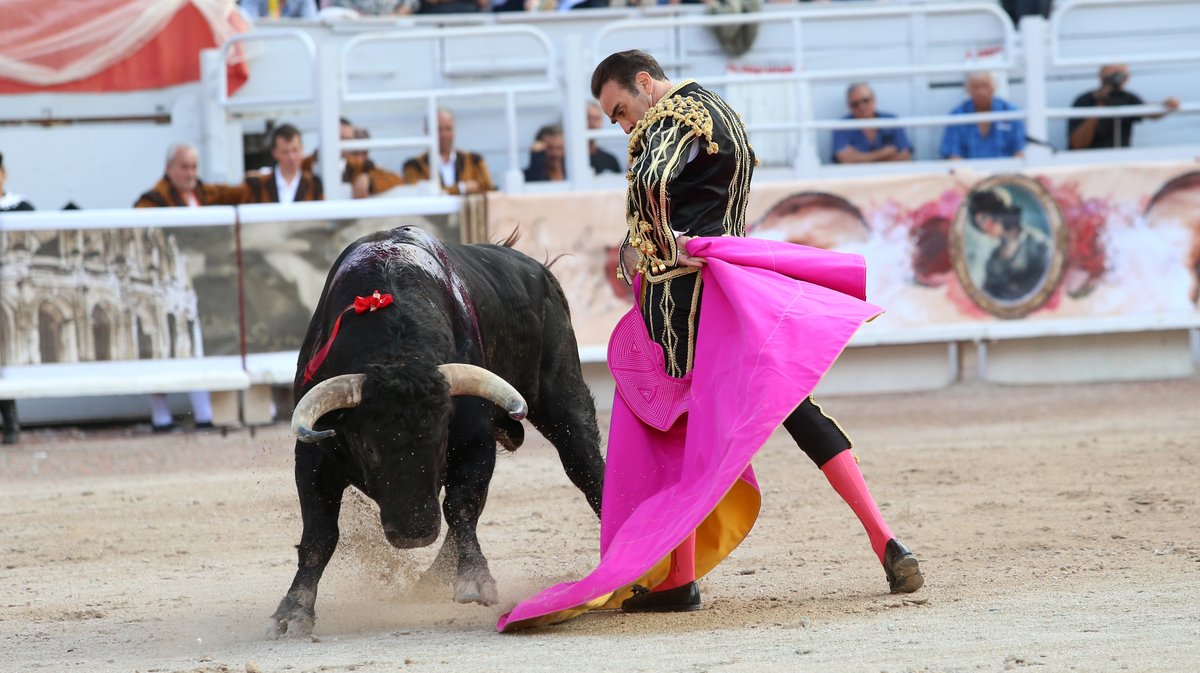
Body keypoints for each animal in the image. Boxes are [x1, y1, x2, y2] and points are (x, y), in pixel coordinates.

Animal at [272, 224, 609, 633]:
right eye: (368, 446)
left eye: (440, 438)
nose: (414, 532)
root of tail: (537, 269)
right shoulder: (313, 458)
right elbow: (319, 534)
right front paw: (293, 612)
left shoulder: (474, 441)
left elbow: (461, 505)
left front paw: (474, 581)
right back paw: (432, 578)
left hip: (564, 397)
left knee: (586, 466)